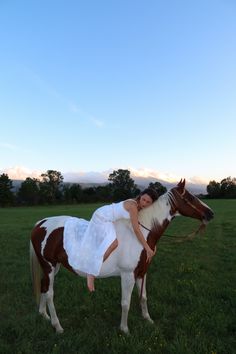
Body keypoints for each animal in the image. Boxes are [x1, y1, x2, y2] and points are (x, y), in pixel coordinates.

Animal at [29, 178, 214, 334]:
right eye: (189, 197)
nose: (210, 213)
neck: (140, 234)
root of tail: (41, 223)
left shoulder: (142, 273)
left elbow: (143, 297)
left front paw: (148, 319)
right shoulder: (127, 275)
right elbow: (126, 303)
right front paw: (124, 329)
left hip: (53, 267)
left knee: (44, 288)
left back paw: (44, 315)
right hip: (49, 267)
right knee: (50, 293)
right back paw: (57, 326)